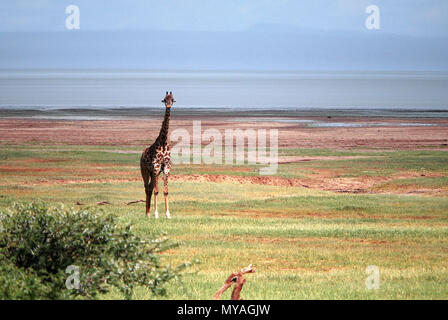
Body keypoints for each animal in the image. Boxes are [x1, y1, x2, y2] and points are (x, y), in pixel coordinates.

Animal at [140, 91, 175, 219]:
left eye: (172, 99)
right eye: (164, 99)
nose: (168, 106)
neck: (163, 142)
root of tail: (142, 154)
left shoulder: (166, 168)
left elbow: (165, 191)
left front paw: (168, 214)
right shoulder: (155, 167)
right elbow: (156, 191)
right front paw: (156, 214)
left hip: (154, 173)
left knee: (150, 187)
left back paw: (148, 212)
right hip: (145, 170)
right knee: (147, 187)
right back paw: (148, 213)